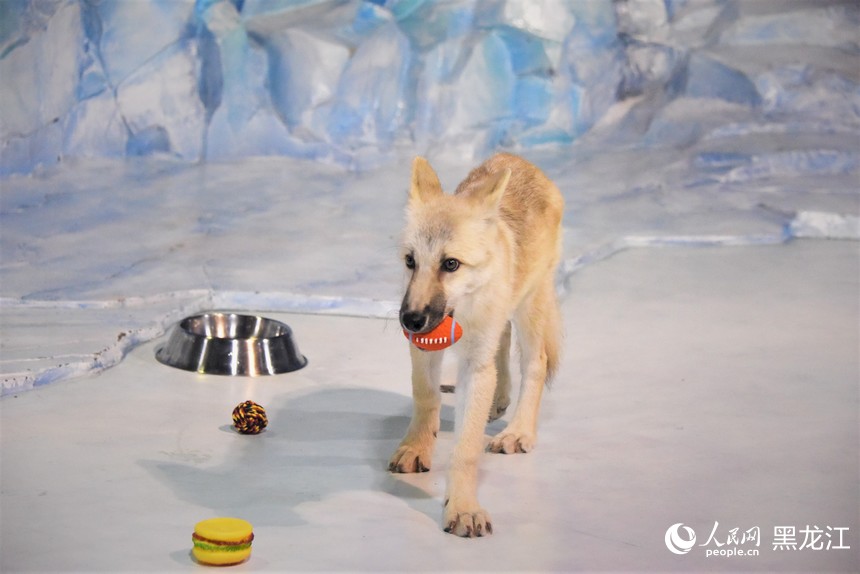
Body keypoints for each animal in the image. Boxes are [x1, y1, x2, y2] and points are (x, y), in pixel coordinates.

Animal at [389, 153, 564, 537]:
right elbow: (426, 398)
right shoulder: (423, 350)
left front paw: (462, 508)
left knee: (537, 361)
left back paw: (518, 431)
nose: (411, 320)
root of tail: (521, 162)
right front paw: (416, 448)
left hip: (531, 305)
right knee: (503, 341)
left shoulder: (475, 365)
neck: (463, 310)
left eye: (450, 264)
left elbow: (466, 448)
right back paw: (498, 402)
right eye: (411, 261)